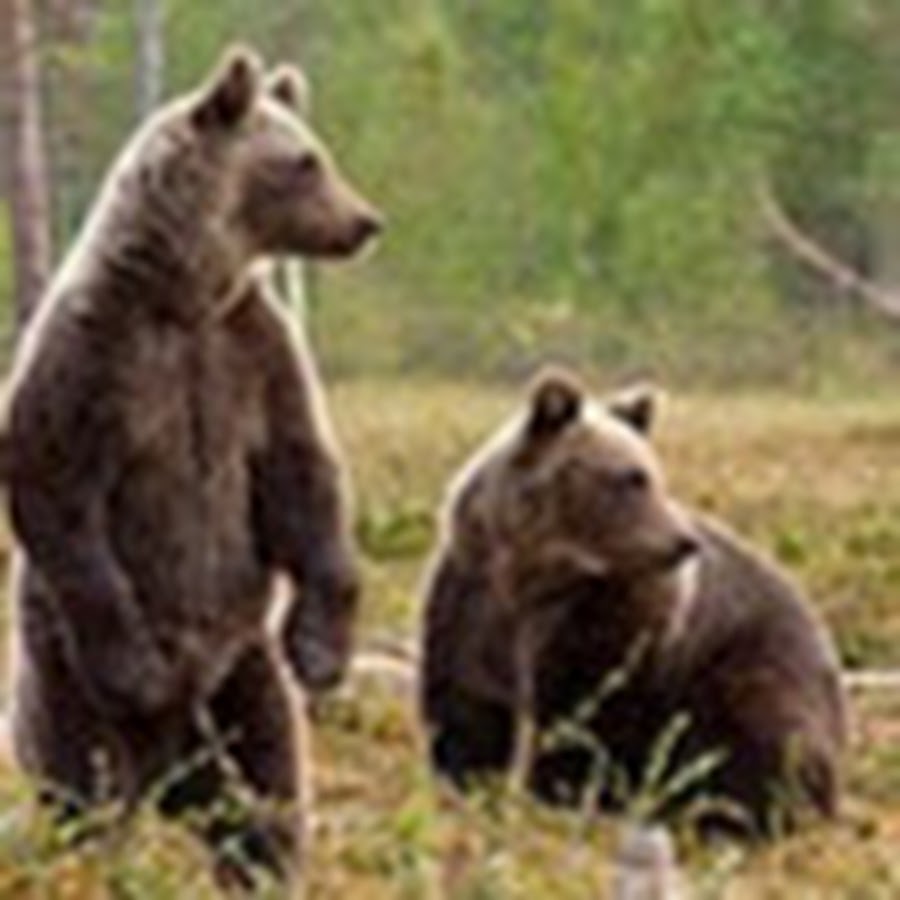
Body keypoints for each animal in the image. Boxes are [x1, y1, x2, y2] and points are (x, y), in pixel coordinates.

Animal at [4, 46, 381, 892]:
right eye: (306, 162)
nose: (366, 221)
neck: (185, 292)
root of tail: (173, 768)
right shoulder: (98, 348)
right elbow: (55, 478)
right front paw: (139, 666)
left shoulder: (253, 350)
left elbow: (301, 473)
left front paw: (321, 650)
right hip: (63, 677)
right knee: (85, 792)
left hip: (243, 675)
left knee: (269, 794)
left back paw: (267, 865)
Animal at [420, 369, 847, 838]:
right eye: (631, 477)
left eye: (655, 475)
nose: (684, 541)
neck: (540, 572)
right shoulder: (473, 597)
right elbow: (470, 707)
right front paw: (472, 785)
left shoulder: (616, 621)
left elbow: (588, 710)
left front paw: (559, 794)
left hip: (753, 667)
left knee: (762, 735)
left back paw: (731, 815)